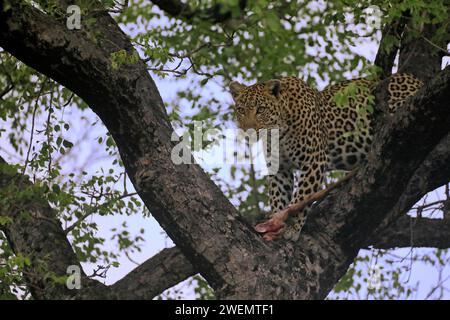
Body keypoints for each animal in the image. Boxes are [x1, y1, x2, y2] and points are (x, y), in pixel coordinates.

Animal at [230, 74, 424, 241]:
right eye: (241, 110)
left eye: (260, 109)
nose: (248, 130)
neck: (277, 132)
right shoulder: (280, 169)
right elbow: (279, 197)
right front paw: (276, 222)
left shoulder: (313, 160)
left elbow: (301, 197)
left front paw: (292, 227)